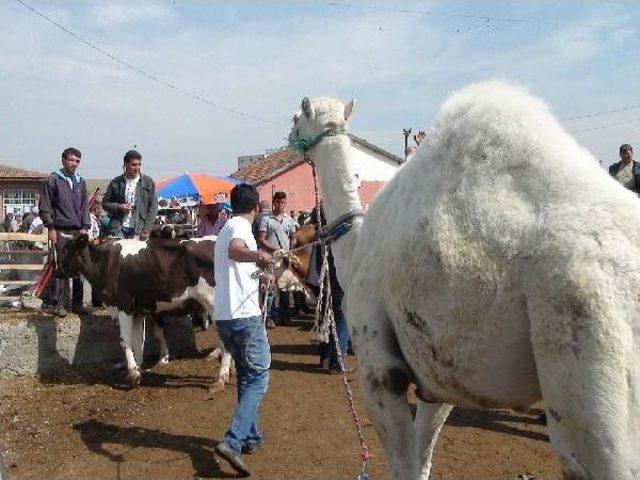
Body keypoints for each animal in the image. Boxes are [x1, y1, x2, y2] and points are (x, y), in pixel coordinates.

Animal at [57, 234, 232, 388]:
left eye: (66, 249)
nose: (57, 272)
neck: (105, 262)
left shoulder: (124, 305)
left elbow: (125, 340)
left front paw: (133, 375)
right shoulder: (138, 312)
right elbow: (138, 341)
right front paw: (139, 368)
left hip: (214, 304)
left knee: (225, 341)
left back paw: (221, 378)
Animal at [288, 80, 640, 478]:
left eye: (297, 118)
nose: (289, 137)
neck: (355, 245)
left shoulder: (379, 367)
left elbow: (404, 464)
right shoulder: (437, 374)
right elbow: (423, 459)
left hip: (589, 346)